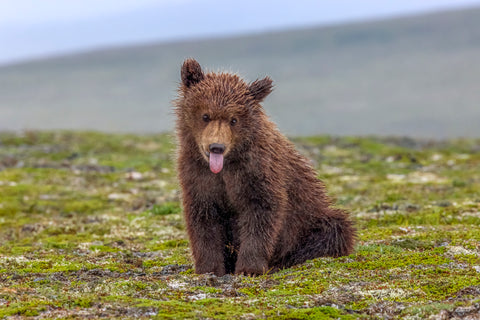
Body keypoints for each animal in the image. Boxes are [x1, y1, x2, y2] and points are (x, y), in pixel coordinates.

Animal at [174, 58, 354, 276]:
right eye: (205, 116)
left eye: (234, 119)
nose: (217, 147)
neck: (227, 164)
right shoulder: (198, 174)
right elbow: (203, 216)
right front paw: (209, 268)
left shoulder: (258, 171)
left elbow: (261, 211)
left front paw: (249, 268)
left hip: (313, 218)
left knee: (335, 229)